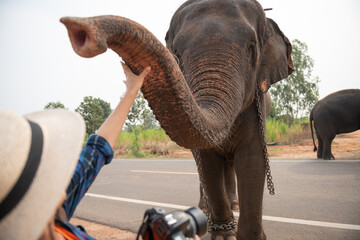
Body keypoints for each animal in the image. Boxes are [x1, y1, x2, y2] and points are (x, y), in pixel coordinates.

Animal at [60, 0, 294, 239]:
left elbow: (252, 159)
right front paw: (222, 235)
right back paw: (204, 209)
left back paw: (234, 204)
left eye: (251, 48)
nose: (83, 34)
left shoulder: (257, 107)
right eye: (177, 55)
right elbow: (208, 162)